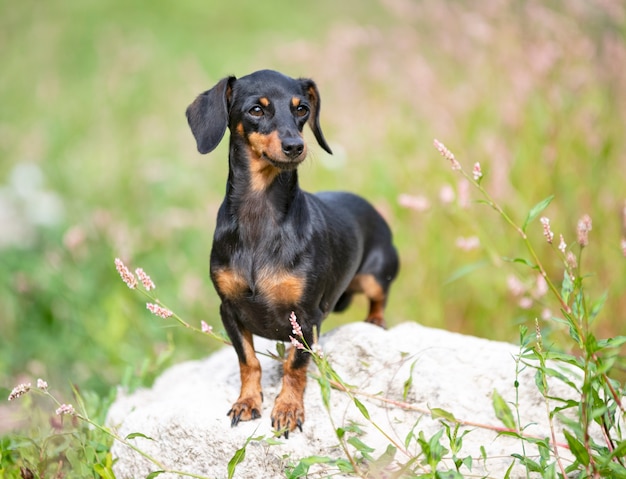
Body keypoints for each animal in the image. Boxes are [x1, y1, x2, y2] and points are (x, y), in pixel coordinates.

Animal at [186, 68, 400, 438]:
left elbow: (295, 365)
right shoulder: (229, 309)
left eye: (302, 109)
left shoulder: (306, 316)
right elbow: (248, 360)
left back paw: (374, 321)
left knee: (379, 298)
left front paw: (287, 408)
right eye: (256, 110)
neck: (259, 218)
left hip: (375, 275)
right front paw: (247, 402)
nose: (295, 146)